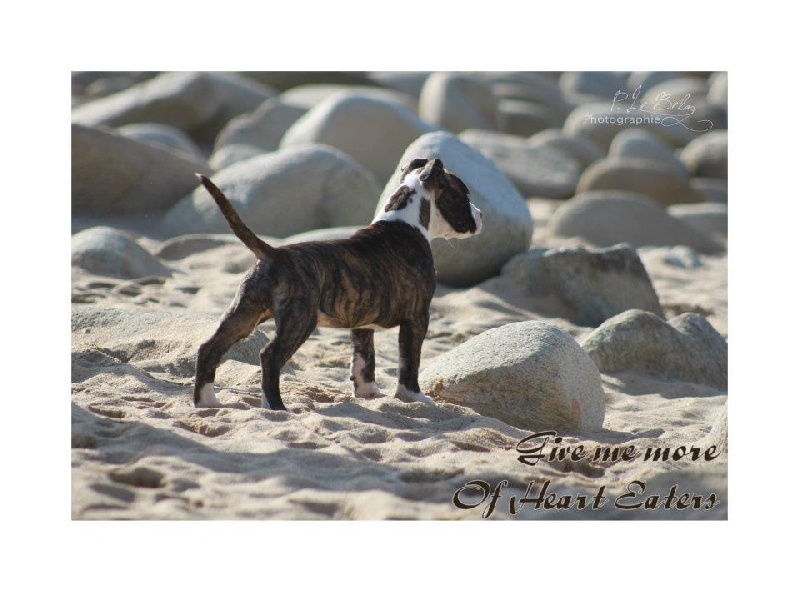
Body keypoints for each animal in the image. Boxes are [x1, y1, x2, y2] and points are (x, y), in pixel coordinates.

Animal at [193, 157, 482, 410]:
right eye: (464, 194)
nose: (480, 214)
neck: (405, 222)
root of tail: (273, 253)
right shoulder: (417, 318)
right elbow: (409, 360)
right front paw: (413, 397)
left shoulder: (363, 322)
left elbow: (364, 359)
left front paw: (368, 393)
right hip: (298, 321)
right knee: (269, 357)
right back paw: (276, 407)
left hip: (244, 312)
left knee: (209, 348)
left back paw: (206, 402)